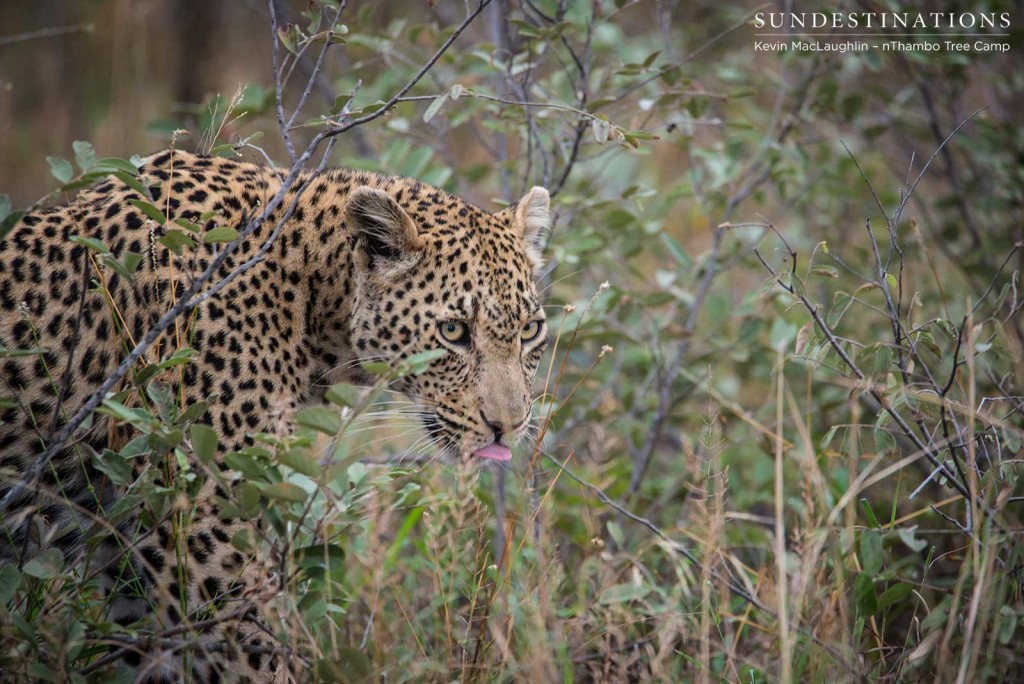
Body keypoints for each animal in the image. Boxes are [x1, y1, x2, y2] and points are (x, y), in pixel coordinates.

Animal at [0, 148, 552, 679]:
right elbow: (259, 654)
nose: (510, 425)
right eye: (454, 331)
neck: (307, 290)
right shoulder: (205, 536)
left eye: (530, 331)